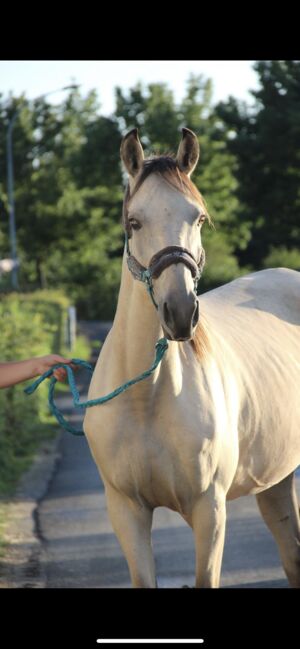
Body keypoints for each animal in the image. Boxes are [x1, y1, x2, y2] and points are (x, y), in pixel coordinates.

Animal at [82, 126, 300, 588]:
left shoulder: (209, 509)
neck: (146, 398)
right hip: (275, 480)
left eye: (198, 217)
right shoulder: (125, 509)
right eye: (134, 221)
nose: (181, 313)